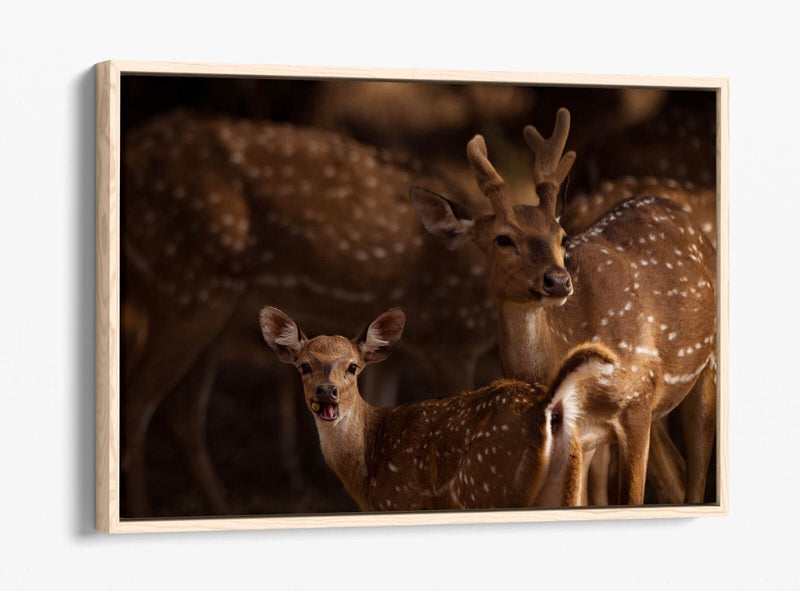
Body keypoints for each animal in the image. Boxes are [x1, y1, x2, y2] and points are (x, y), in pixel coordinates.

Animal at [121, 110, 497, 516]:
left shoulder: (398, 355)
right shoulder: (452, 339)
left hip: (204, 304)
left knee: (182, 414)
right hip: (188, 290)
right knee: (137, 402)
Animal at [259, 305, 626, 510]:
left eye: (352, 366)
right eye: (304, 366)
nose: (327, 392)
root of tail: (549, 405)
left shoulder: (399, 501)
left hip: (486, 488)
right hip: (567, 485)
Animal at [409, 108, 717, 505]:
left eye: (562, 236)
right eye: (502, 239)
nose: (557, 280)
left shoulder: (636, 402)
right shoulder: (581, 436)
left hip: (704, 367)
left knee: (695, 477)